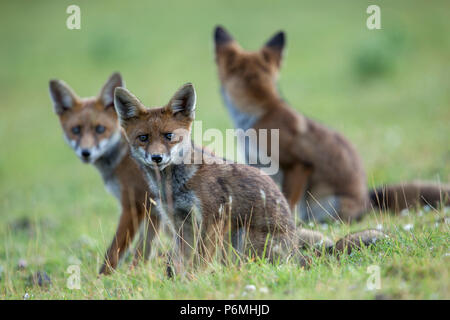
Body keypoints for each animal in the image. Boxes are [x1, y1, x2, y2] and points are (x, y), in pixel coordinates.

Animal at [49, 73, 160, 276]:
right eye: (76, 130)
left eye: (100, 129)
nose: (86, 153)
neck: (122, 160)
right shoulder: (154, 212)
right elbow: (144, 252)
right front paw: (137, 274)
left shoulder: (133, 206)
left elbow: (114, 252)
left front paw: (103, 278)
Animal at [213, 25, 448, 222]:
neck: (262, 112)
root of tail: (368, 201)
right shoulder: (257, 165)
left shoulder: (299, 165)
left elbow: (288, 201)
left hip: (329, 203)